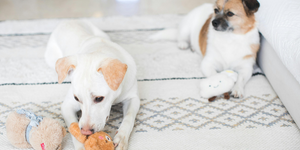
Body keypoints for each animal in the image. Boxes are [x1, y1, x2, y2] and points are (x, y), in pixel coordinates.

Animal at [44, 20, 141, 150]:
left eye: (99, 98)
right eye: (76, 98)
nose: (86, 132)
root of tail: (69, 21)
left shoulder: (133, 98)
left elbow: (129, 118)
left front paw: (121, 138)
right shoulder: (67, 106)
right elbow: (74, 129)